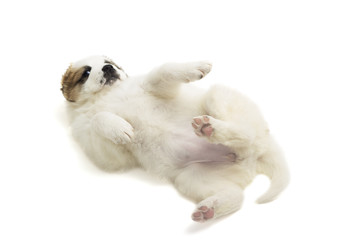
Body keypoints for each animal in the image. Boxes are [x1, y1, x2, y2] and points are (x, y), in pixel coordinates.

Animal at [59, 55, 290, 222]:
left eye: (110, 62)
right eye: (86, 72)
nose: (108, 68)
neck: (107, 95)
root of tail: (259, 153)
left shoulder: (153, 87)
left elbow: (163, 70)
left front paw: (197, 67)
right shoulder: (102, 149)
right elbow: (99, 119)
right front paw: (121, 129)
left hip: (218, 96)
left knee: (247, 133)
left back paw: (210, 128)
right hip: (192, 176)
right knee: (237, 195)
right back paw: (209, 209)